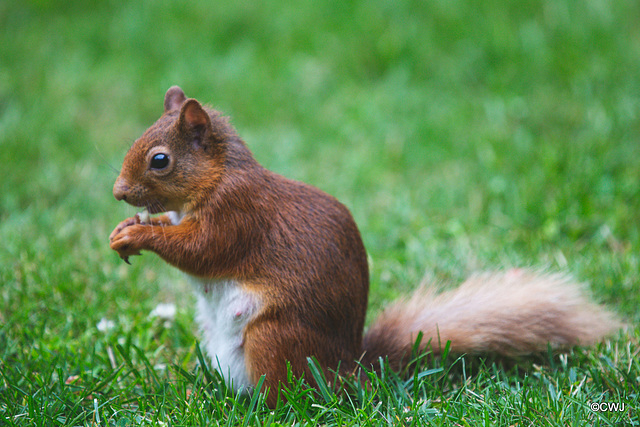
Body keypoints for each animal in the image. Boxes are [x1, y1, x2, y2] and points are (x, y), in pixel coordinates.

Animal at [110, 86, 620, 408]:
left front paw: (137, 234)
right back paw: (200, 394)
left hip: (273, 338)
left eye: (160, 160)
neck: (216, 177)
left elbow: (201, 251)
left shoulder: (238, 215)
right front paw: (126, 228)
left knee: (283, 397)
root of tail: (348, 370)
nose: (118, 192)